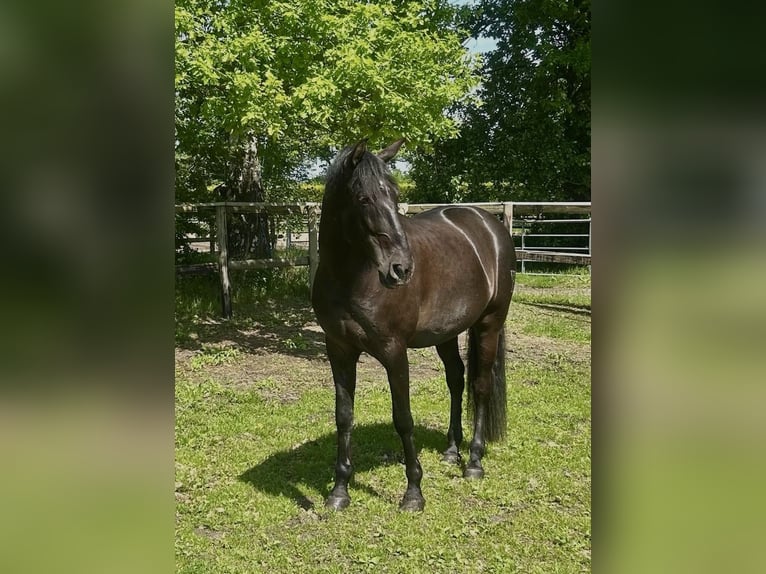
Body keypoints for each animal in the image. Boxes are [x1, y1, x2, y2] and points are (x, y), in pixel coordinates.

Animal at [311, 139, 516, 511]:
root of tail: (490, 225)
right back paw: (451, 451)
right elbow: (343, 416)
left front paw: (413, 493)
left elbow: (403, 418)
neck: (352, 279)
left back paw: (474, 462)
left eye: (394, 194)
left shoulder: (394, 352)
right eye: (363, 198)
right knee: (456, 379)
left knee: (480, 386)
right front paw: (339, 491)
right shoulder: (339, 350)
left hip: (489, 324)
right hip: (447, 332)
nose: (401, 268)